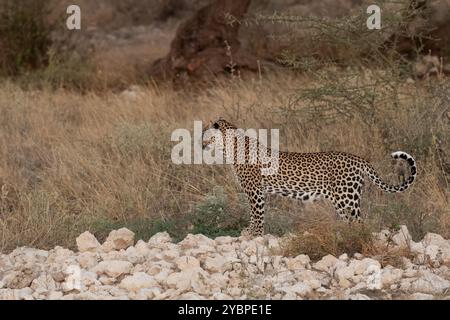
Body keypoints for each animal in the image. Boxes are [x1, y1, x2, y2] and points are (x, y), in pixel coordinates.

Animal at [202, 119, 416, 236]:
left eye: (206, 134)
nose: (200, 142)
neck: (230, 148)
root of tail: (359, 159)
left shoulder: (255, 191)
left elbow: (257, 215)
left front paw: (255, 236)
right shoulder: (256, 191)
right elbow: (254, 216)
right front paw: (249, 233)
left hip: (347, 198)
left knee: (359, 223)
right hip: (343, 201)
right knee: (351, 222)